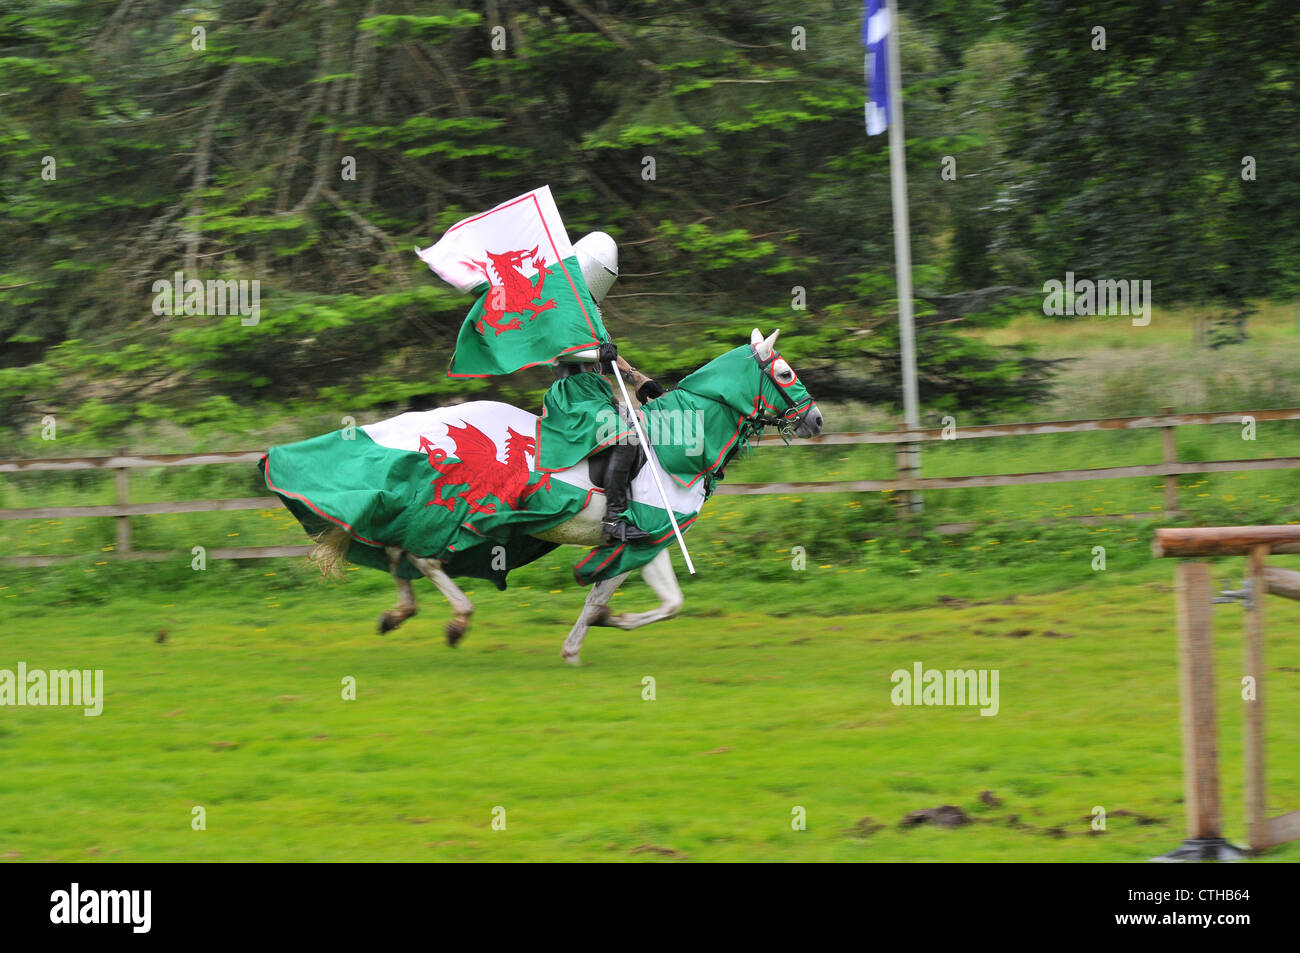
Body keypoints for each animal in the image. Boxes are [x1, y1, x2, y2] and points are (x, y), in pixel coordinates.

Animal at [317, 327, 821, 660]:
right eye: (784, 372)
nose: (816, 421)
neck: (674, 448)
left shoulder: (653, 540)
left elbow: (669, 604)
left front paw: (605, 625)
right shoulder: (637, 539)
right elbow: (601, 598)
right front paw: (578, 645)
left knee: (396, 545)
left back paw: (398, 613)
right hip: (467, 511)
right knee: (422, 554)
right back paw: (457, 619)